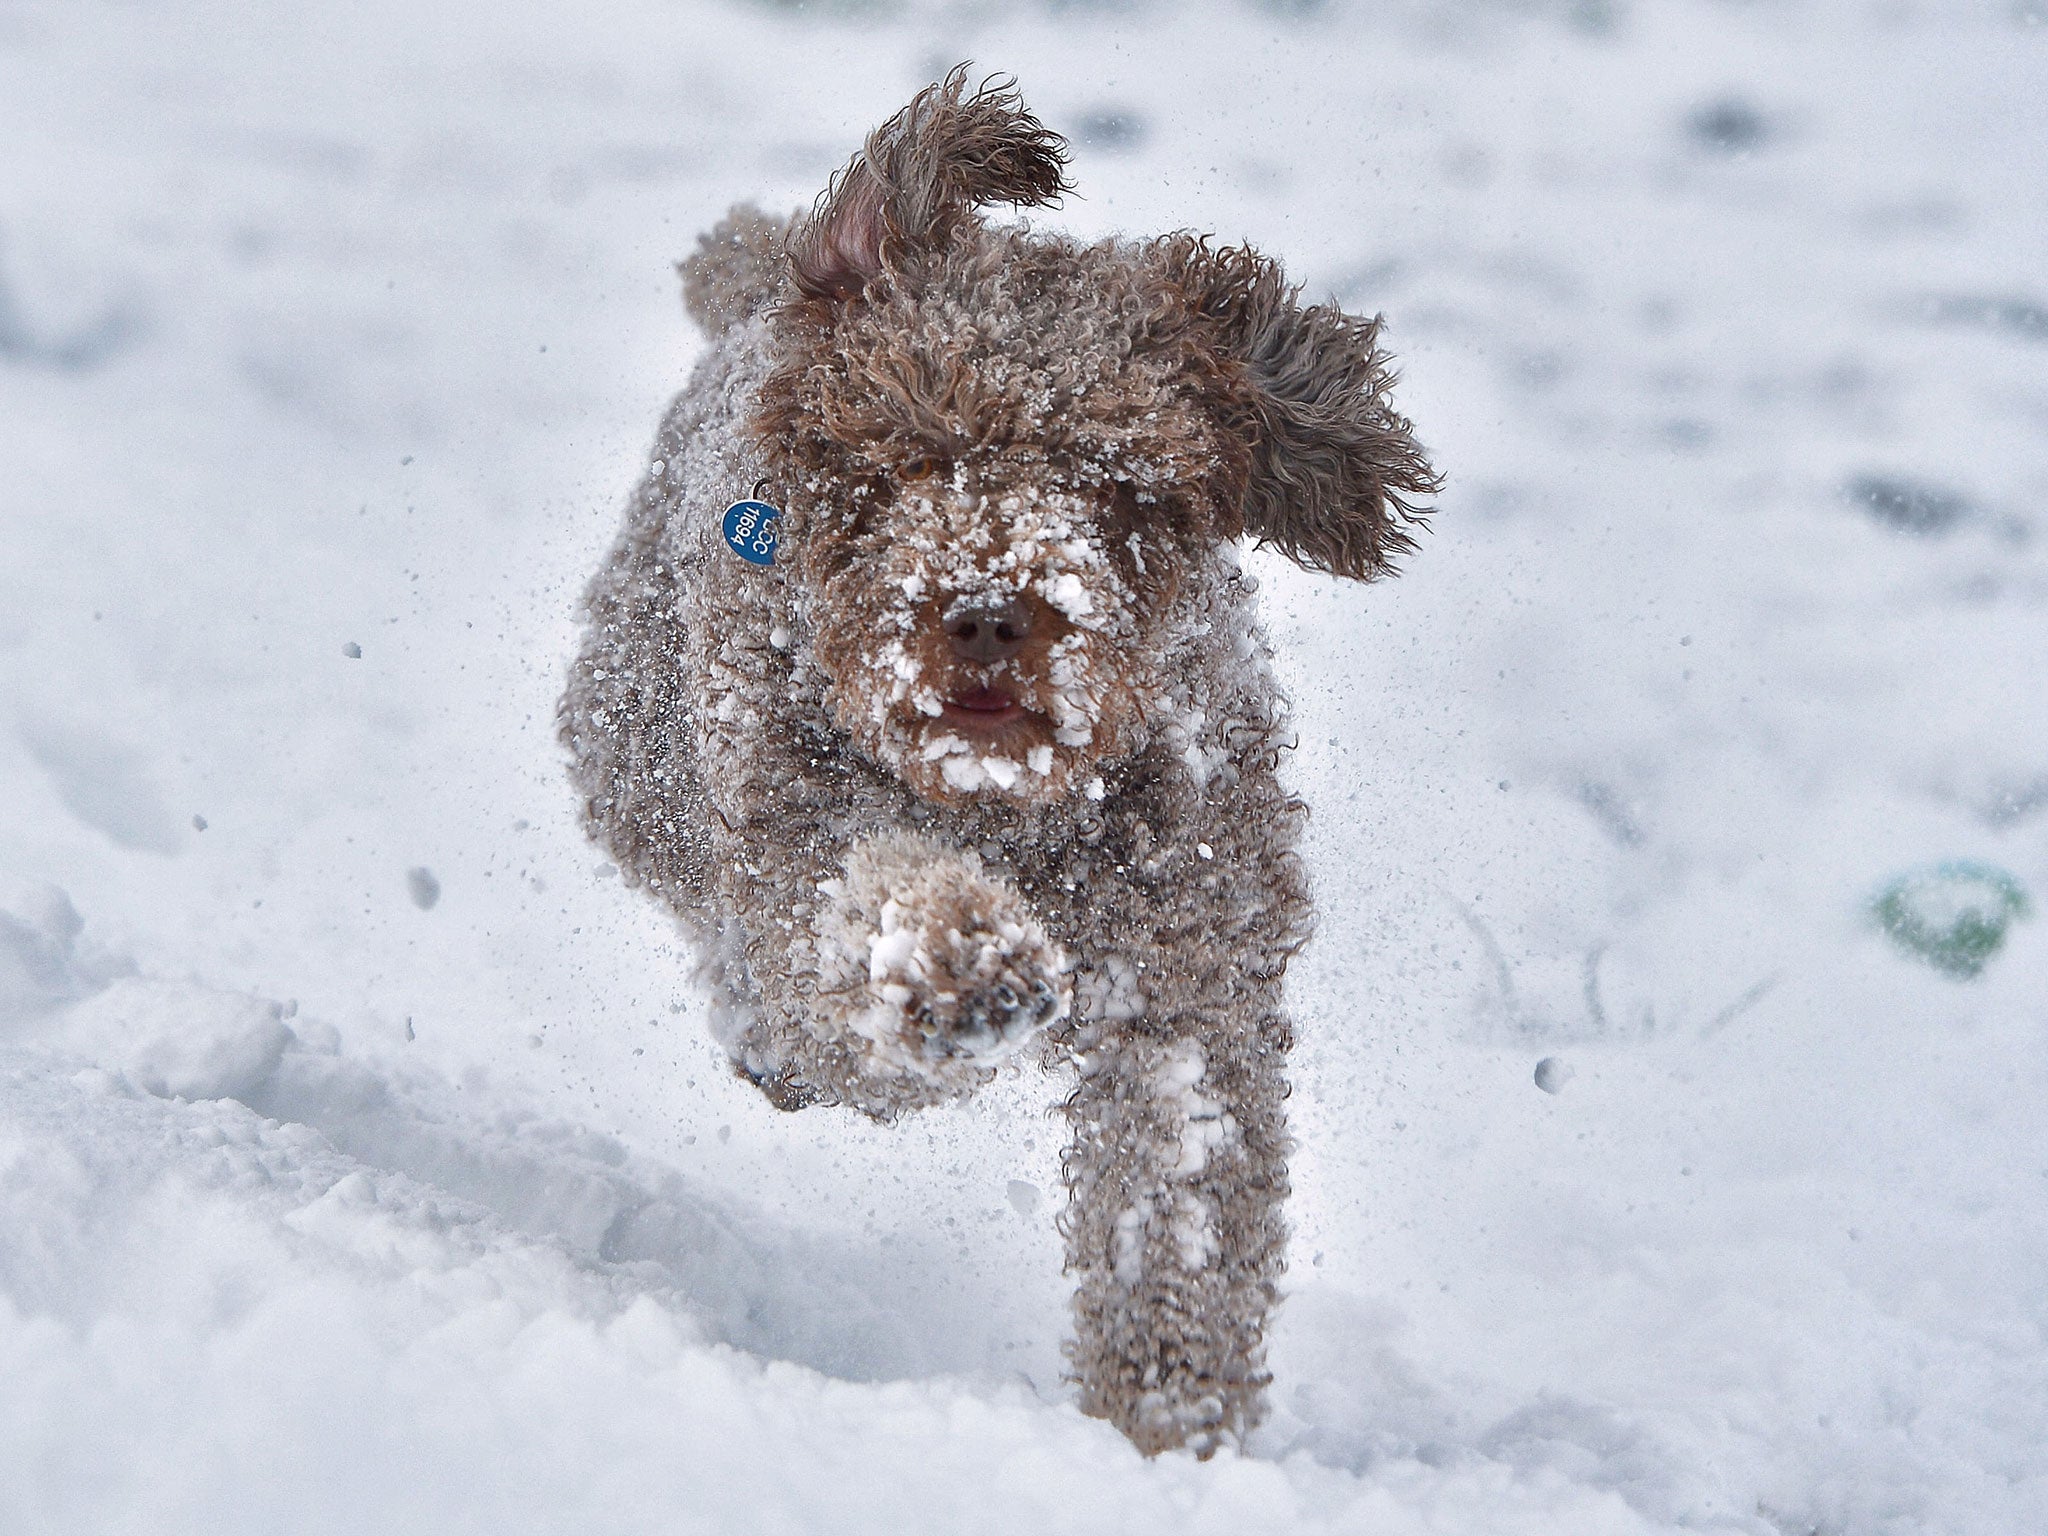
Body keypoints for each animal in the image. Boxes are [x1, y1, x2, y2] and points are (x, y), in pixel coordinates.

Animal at [552, 72, 1433, 1458]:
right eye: (902, 454)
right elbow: (860, 916)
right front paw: (961, 965)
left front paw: (1168, 1432)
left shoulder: (1187, 978)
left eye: (1120, 487)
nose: (980, 613)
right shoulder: (794, 833)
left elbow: (1177, 1207)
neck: (1011, 813)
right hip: (638, 756)